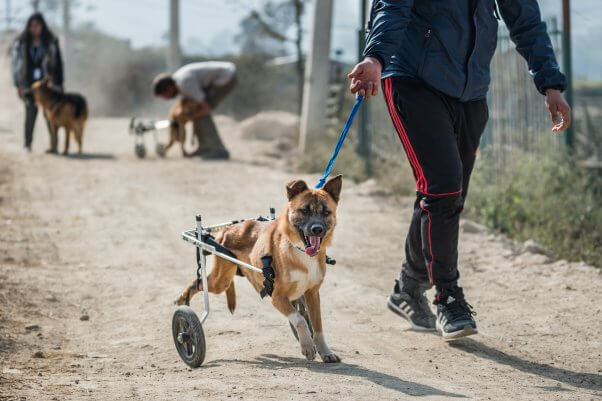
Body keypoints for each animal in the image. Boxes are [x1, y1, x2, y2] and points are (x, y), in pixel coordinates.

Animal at [175, 175, 342, 362]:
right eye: (304, 210)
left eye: (326, 212)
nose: (317, 229)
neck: (300, 251)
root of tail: (228, 228)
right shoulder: (277, 297)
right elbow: (300, 319)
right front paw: (307, 346)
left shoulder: (313, 294)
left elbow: (317, 326)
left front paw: (325, 351)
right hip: (220, 281)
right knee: (196, 283)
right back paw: (182, 303)